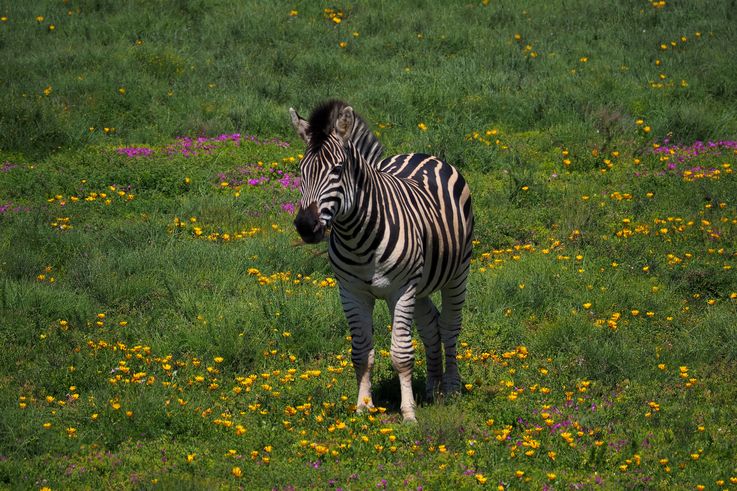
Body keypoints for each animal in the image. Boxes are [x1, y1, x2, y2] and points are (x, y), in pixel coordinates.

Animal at [290, 100, 473, 422]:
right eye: (301, 171)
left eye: (337, 169)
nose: (305, 226)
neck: (358, 239)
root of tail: (423, 155)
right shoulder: (351, 291)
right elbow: (361, 351)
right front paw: (363, 406)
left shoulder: (401, 290)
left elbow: (401, 354)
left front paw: (409, 413)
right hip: (420, 286)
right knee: (431, 326)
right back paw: (433, 389)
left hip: (457, 272)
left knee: (450, 326)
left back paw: (450, 388)